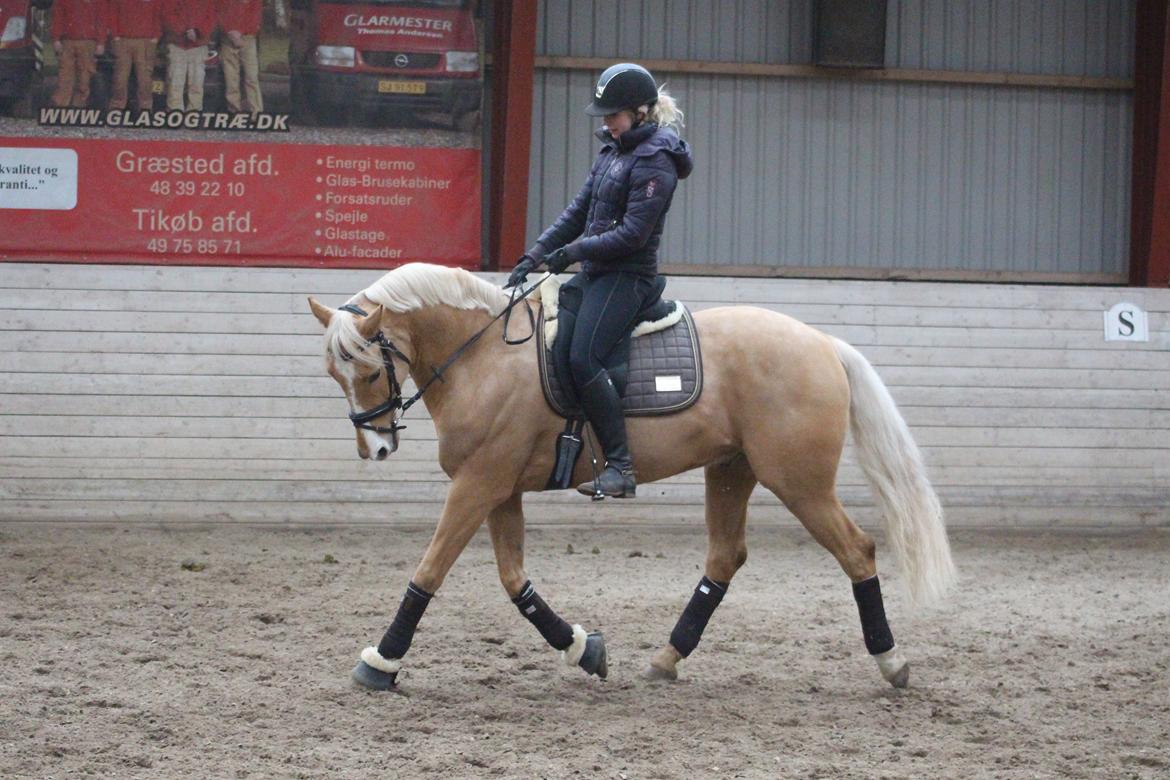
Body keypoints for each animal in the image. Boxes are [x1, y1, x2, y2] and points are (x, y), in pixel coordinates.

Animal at [306, 265, 954, 692]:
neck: (484, 357)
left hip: (799, 482)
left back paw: (892, 662)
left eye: (369, 370)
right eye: (336, 374)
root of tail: (823, 343)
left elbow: (428, 571)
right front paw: (583, 649)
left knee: (857, 550)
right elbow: (515, 581)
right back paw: (667, 659)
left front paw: (381, 662)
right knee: (725, 558)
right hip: (731, 471)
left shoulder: (479, 483)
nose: (376, 448)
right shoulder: (500, 488)